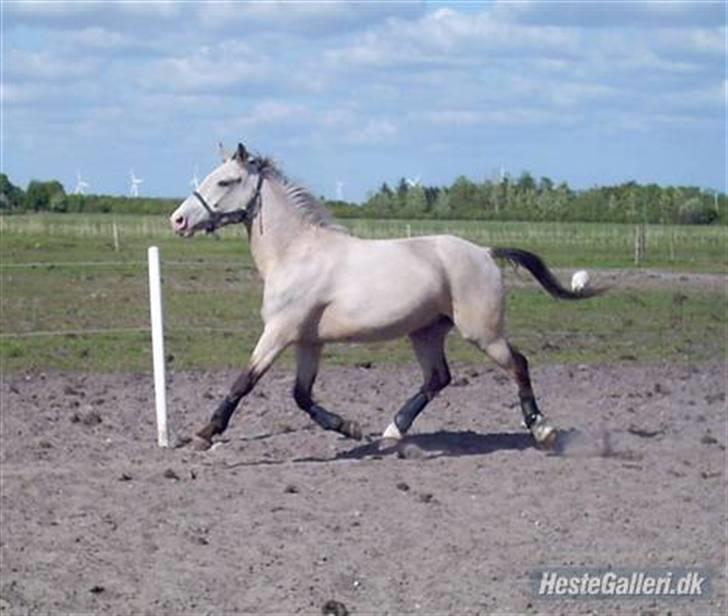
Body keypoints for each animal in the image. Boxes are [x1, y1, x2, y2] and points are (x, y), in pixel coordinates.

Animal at [171, 144, 604, 452]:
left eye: (226, 181)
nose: (178, 220)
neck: (297, 253)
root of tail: (483, 251)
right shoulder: (308, 341)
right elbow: (301, 396)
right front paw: (350, 428)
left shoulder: (279, 333)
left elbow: (244, 382)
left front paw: (204, 433)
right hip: (426, 332)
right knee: (438, 378)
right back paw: (392, 432)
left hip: (483, 333)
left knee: (518, 365)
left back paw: (543, 430)